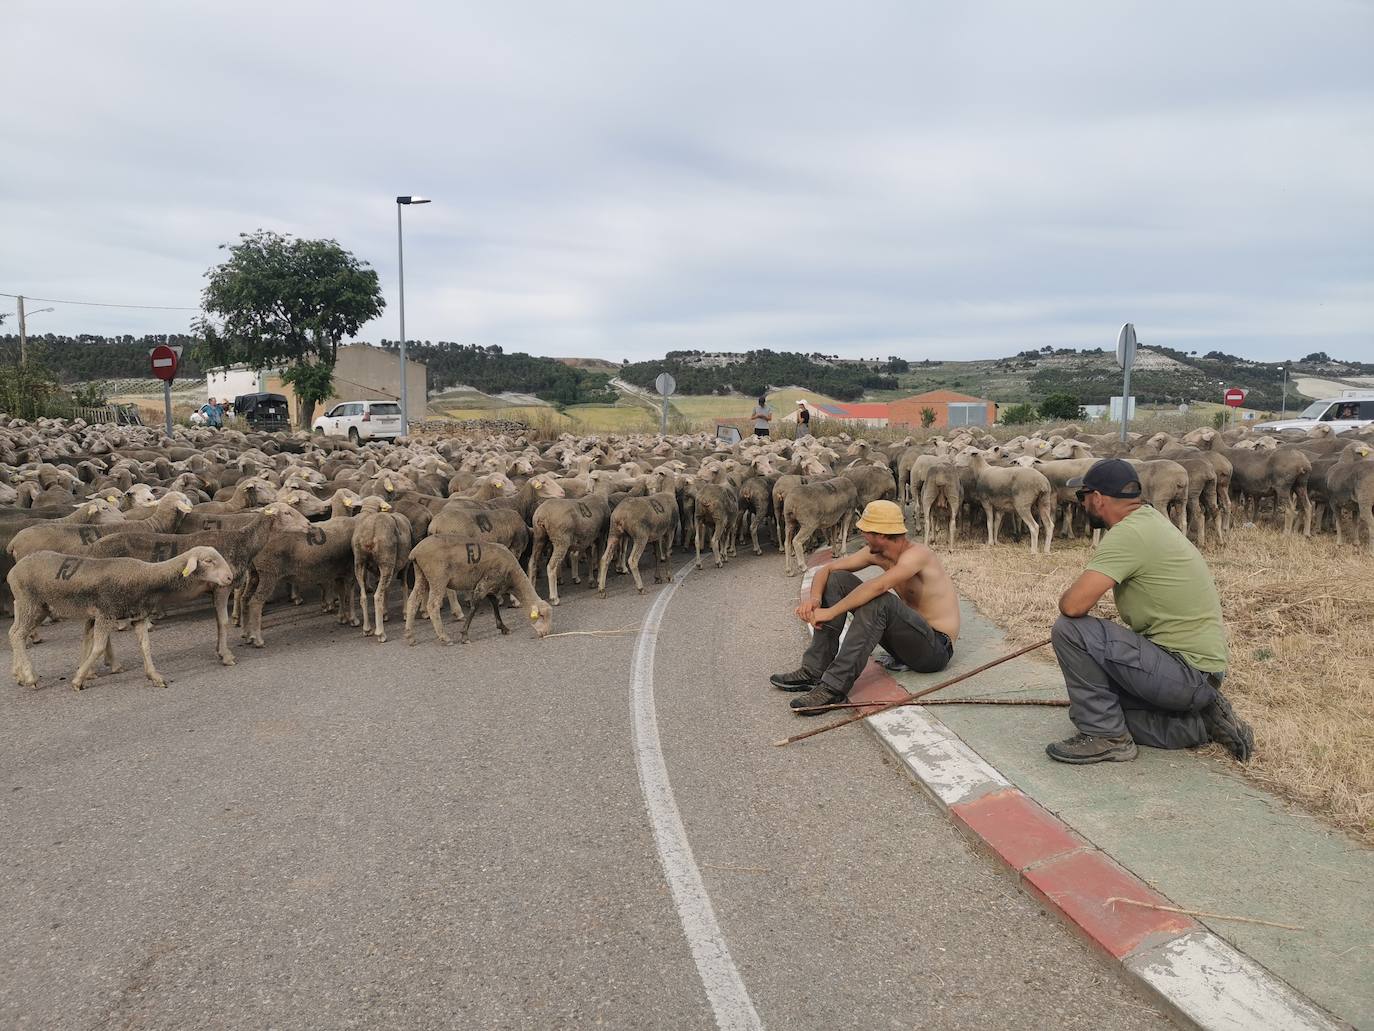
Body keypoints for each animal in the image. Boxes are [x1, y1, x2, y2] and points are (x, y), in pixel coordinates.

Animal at [6, 549, 233, 695]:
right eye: (208, 561)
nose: (230, 578)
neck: (147, 578)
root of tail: (13, 571)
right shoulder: (105, 614)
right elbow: (97, 648)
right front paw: (78, 680)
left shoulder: (138, 615)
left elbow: (145, 646)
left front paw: (155, 676)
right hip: (31, 604)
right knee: (17, 635)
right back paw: (30, 677)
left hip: (33, 605)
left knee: (13, 633)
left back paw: (19, 675)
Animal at [401, 541, 552, 646]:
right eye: (541, 616)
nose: (545, 634)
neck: (513, 577)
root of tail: (415, 552)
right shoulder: (485, 583)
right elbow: (475, 607)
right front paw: (464, 636)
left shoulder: (489, 585)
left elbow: (494, 604)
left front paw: (503, 627)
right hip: (438, 577)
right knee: (433, 605)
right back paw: (445, 638)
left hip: (421, 575)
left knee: (412, 601)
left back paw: (410, 636)